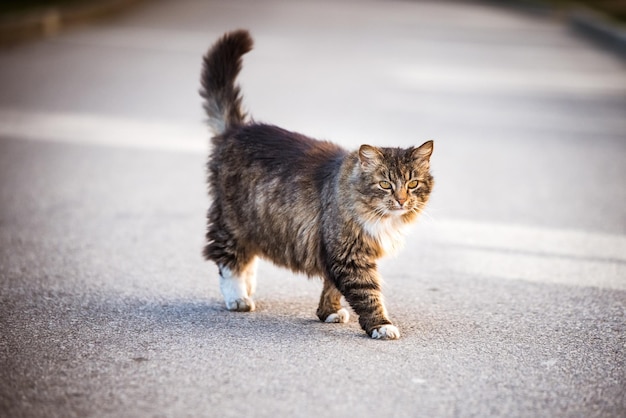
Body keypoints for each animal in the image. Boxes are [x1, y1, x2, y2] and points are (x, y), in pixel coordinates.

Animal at [197, 29, 432, 338]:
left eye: (413, 183)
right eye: (385, 185)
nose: (402, 199)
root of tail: (238, 129)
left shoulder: (336, 252)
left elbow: (332, 287)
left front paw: (328, 312)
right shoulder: (349, 254)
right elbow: (368, 294)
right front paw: (381, 326)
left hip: (256, 223)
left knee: (247, 258)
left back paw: (248, 288)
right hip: (232, 221)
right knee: (228, 260)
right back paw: (238, 298)